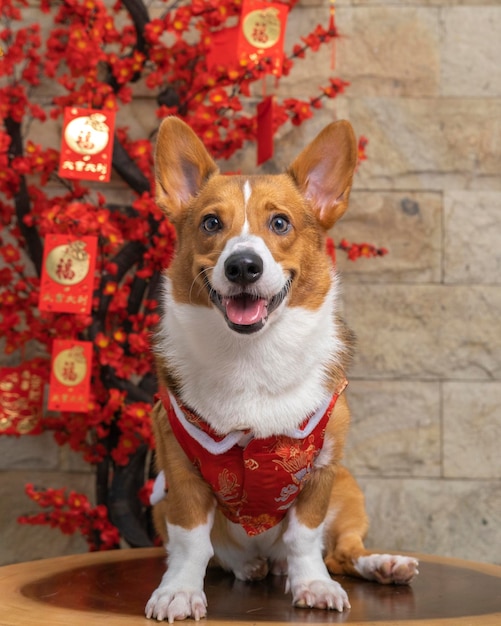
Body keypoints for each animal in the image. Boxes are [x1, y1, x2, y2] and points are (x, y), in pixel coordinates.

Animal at [146, 116, 418, 620]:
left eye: (279, 223)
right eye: (211, 222)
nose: (243, 266)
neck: (251, 353)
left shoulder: (322, 468)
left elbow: (305, 538)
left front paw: (314, 585)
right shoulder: (179, 465)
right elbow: (191, 542)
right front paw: (179, 592)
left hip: (349, 489)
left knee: (343, 551)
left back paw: (382, 564)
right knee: (225, 554)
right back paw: (247, 566)